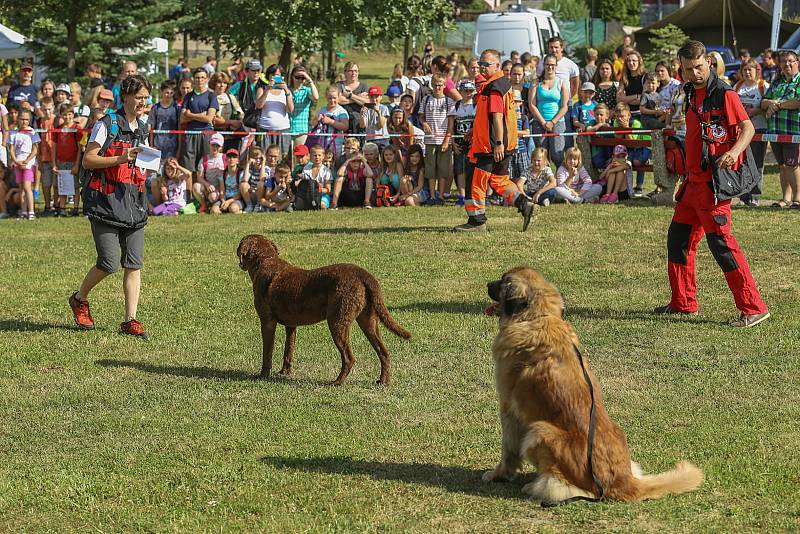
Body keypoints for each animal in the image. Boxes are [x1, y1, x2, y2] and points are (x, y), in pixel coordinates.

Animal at [236, 237, 412, 388]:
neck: (266, 261)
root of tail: (363, 274)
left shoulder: (267, 322)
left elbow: (267, 352)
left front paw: (263, 375)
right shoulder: (291, 325)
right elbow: (288, 350)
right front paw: (284, 373)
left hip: (337, 321)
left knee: (349, 358)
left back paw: (337, 382)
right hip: (368, 321)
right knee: (384, 352)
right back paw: (383, 381)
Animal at [482, 268, 700, 506]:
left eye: (503, 281)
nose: (487, 284)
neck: (538, 317)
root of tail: (621, 481)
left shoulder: (508, 408)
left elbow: (508, 449)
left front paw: (499, 475)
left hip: (539, 431)